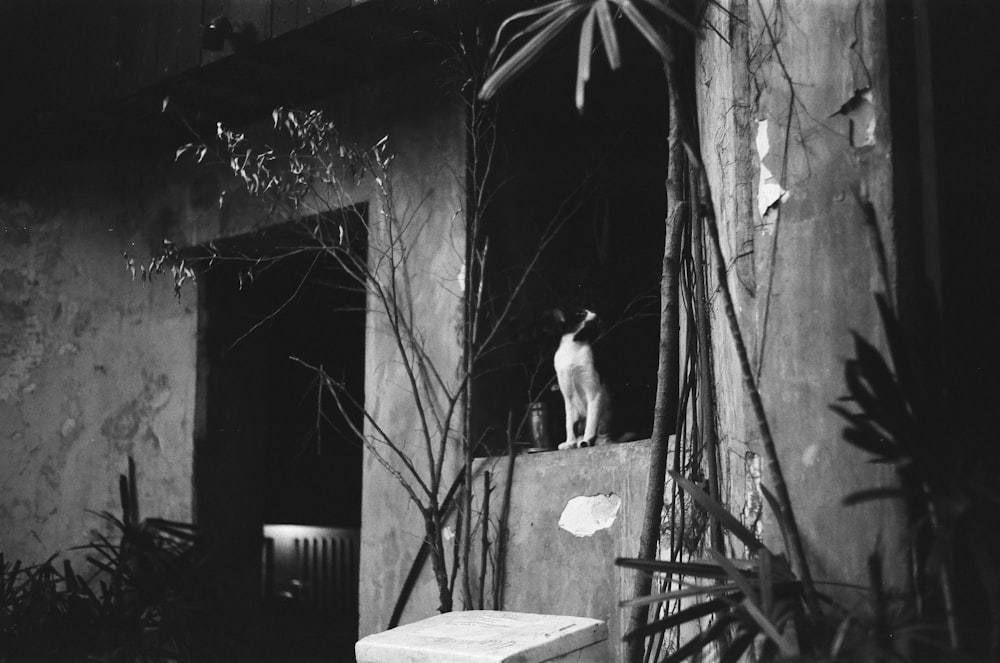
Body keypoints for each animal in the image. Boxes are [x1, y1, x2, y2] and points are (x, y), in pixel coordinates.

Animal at [556, 308, 608, 448]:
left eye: (596, 318)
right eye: (580, 314)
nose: (596, 315)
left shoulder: (594, 390)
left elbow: (591, 419)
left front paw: (586, 440)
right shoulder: (568, 396)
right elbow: (569, 423)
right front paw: (570, 443)